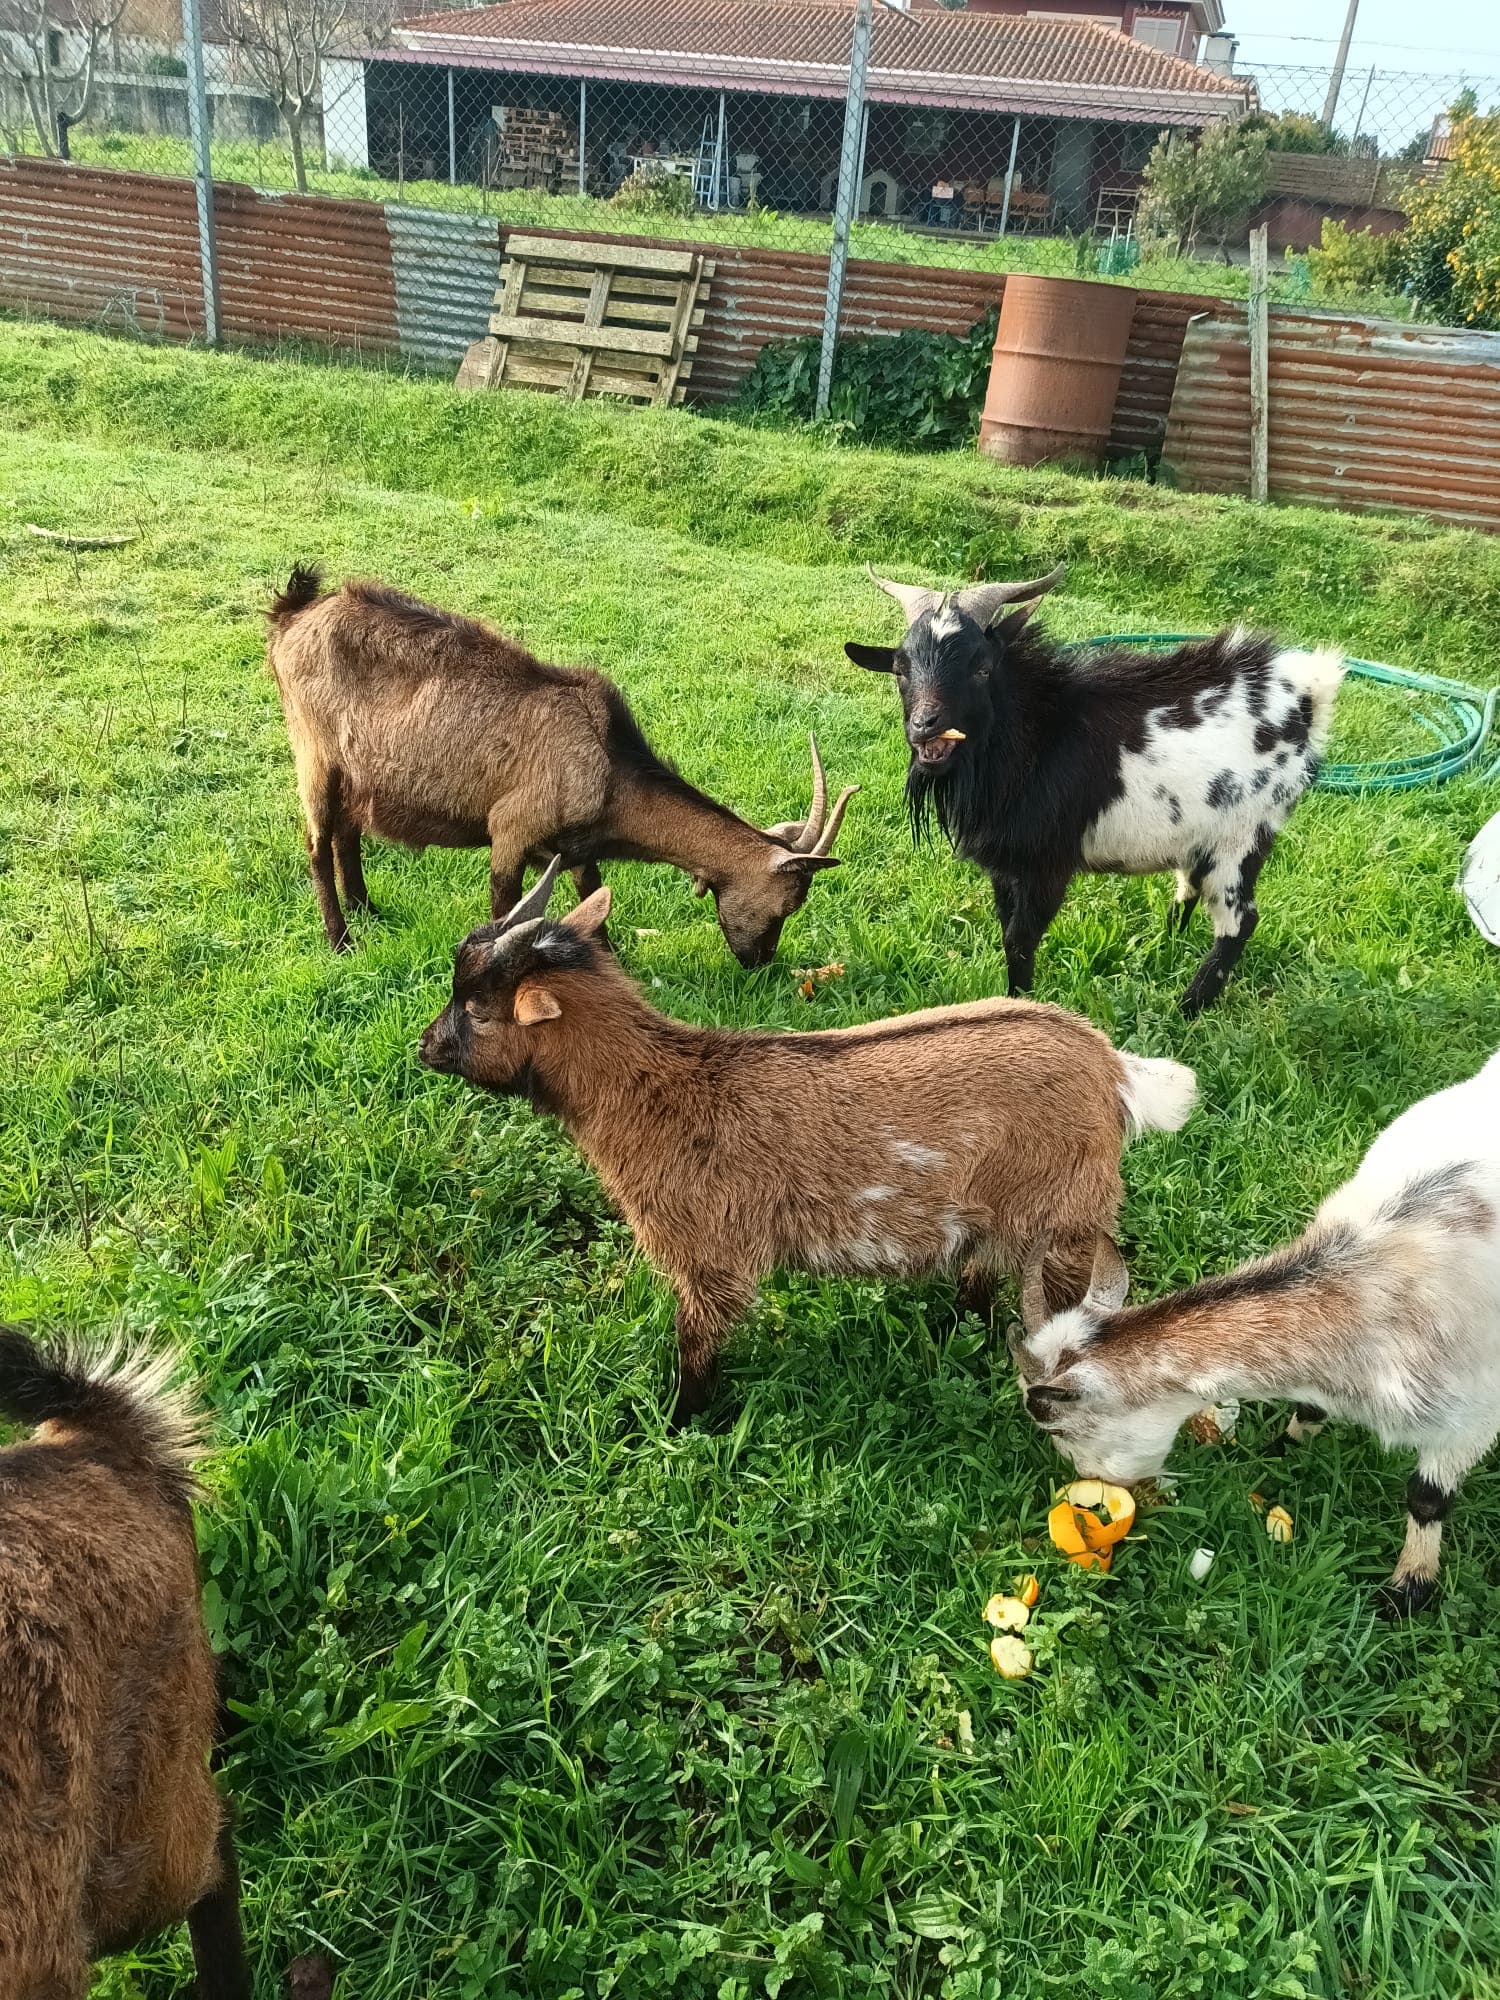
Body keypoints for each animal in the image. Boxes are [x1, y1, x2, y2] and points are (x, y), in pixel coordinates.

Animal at [267, 568, 855, 965]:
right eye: (788, 905)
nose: (760, 963)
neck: (608, 771)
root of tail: (291, 617)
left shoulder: (571, 849)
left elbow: (595, 900)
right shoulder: (510, 828)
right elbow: (505, 913)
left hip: (356, 773)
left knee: (347, 833)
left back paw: (368, 910)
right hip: (313, 754)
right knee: (317, 841)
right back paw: (340, 940)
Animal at [418, 857, 1198, 1420]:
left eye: (475, 1008)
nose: (425, 1048)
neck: (663, 1092)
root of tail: (1111, 1067)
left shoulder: (709, 1252)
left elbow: (696, 1347)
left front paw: (680, 1422)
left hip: (1067, 1215)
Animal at [844, 564, 1344, 1014]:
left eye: (982, 667)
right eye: (900, 668)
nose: (925, 725)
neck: (1040, 736)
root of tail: (1305, 692)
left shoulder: (1048, 864)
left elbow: (1020, 942)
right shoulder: (1006, 867)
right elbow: (1007, 932)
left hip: (1241, 837)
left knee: (1239, 921)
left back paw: (1188, 1007)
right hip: (1197, 838)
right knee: (1188, 890)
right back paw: (1160, 950)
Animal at [1013, 1048, 1500, 1615]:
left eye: (1057, 1429)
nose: (1093, 1485)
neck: (1371, 1297)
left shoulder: (1470, 1417)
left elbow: (1427, 1497)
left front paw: (1408, 1591)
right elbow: (1309, 1408)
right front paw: (1278, 1450)